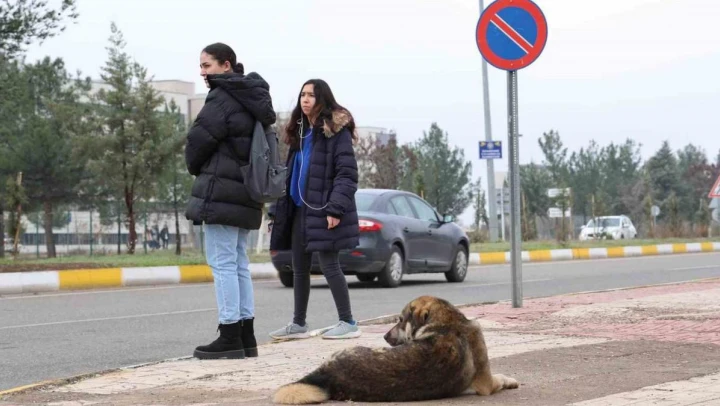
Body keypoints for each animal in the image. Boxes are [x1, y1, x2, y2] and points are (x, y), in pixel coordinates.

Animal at [272, 295, 518, 404]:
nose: (384, 336)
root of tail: (328, 373)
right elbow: (500, 377)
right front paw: (510, 380)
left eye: (400, 320)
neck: (445, 321)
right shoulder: (486, 384)